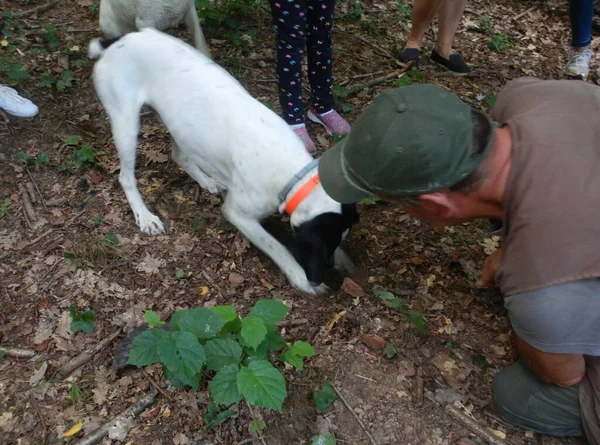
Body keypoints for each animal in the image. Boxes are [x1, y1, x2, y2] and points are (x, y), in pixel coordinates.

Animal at [85, 30, 356, 294]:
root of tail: (116, 40)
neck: (293, 174)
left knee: (179, 155)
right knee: (126, 177)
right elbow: (278, 247)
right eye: (318, 246)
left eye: (334, 243)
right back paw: (144, 215)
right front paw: (300, 278)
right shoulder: (239, 214)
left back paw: (207, 181)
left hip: (180, 124)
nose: (324, 271)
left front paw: (343, 259)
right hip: (126, 123)